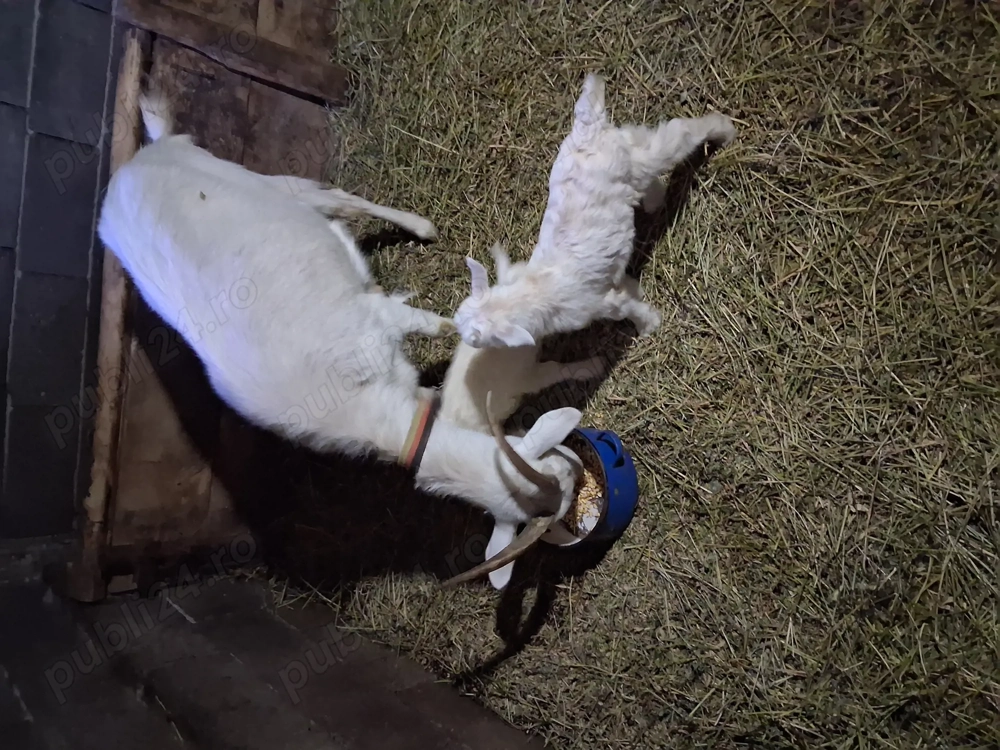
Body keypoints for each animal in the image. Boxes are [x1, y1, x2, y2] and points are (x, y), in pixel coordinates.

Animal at [96, 91, 587, 587]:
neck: (361, 408)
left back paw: (419, 226)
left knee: (331, 197)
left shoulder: (379, 322)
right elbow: (437, 329)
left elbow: (435, 326)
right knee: (329, 200)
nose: (580, 476)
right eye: (554, 473)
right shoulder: (378, 325)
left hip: (238, 173)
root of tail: (140, 159)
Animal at [453, 73, 737, 349]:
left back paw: (725, 129)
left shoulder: (599, 306)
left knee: (678, 134)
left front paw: (650, 325)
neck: (533, 291)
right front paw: (635, 288)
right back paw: (655, 201)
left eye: (476, 339)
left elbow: (627, 309)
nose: (455, 326)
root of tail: (587, 128)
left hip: (642, 158)